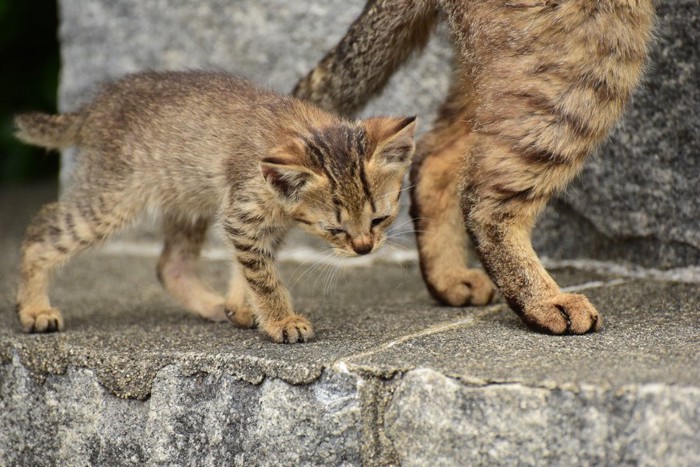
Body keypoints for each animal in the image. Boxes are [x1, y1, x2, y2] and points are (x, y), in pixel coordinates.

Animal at [13, 72, 416, 344]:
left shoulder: (257, 220)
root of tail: (98, 104)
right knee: (40, 231)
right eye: (335, 230)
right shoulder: (242, 213)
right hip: (112, 197)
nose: (364, 248)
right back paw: (33, 309)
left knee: (170, 264)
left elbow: (248, 266)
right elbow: (261, 275)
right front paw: (281, 321)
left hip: (186, 198)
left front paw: (241, 305)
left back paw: (214, 306)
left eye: (380, 219)